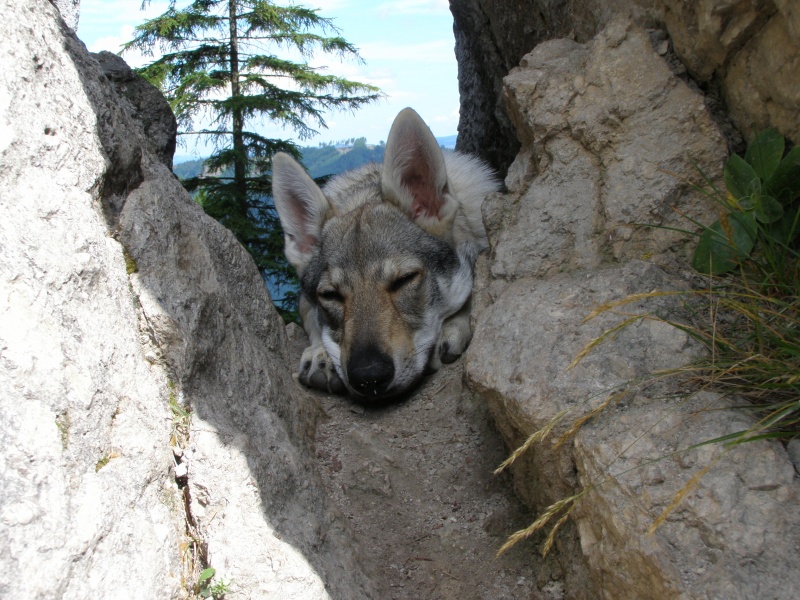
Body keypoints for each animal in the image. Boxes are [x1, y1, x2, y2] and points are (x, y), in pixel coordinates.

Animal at [276, 109, 500, 398]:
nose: (369, 377)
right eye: (330, 295)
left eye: (404, 280)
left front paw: (453, 327)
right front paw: (321, 354)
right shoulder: (305, 301)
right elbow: (314, 322)